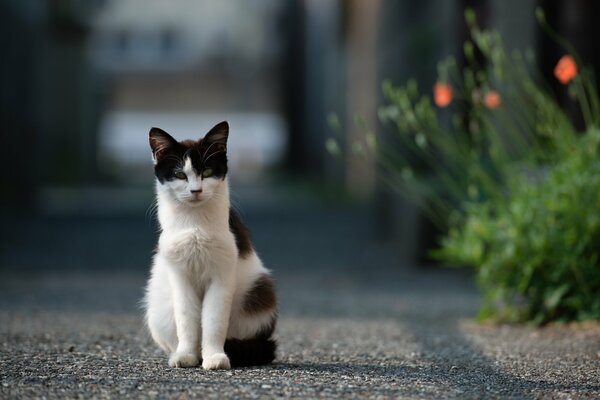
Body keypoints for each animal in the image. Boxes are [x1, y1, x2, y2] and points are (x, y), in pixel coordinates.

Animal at [144, 120, 278, 370]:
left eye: (206, 172)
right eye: (179, 174)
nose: (196, 190)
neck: (195, 224)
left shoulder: (222, 274)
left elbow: (214, 320)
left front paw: (215, 356)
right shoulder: (180, 276)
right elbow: (187, 318)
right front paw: (186, 355)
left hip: (260, 290)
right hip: (157, 310)